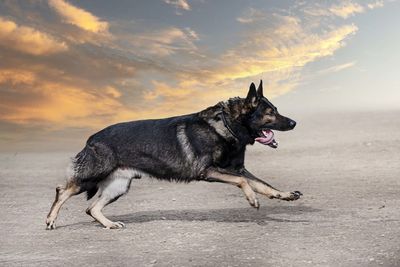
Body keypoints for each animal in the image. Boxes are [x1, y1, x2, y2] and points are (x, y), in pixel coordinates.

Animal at [45, 80, 302, 230]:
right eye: (270, 113)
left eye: (276, 110)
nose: (294, 123)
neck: (227, 125)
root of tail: (91, 139)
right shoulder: (208, 171)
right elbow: (244, 183)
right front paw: (252, 199)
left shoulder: (236, 169)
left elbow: (263, 184)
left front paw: (284, 195)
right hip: (91, 177)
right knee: (62, 190)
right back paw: (50, 220)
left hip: (119, 186)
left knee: (92, 208)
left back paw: (108, 224)